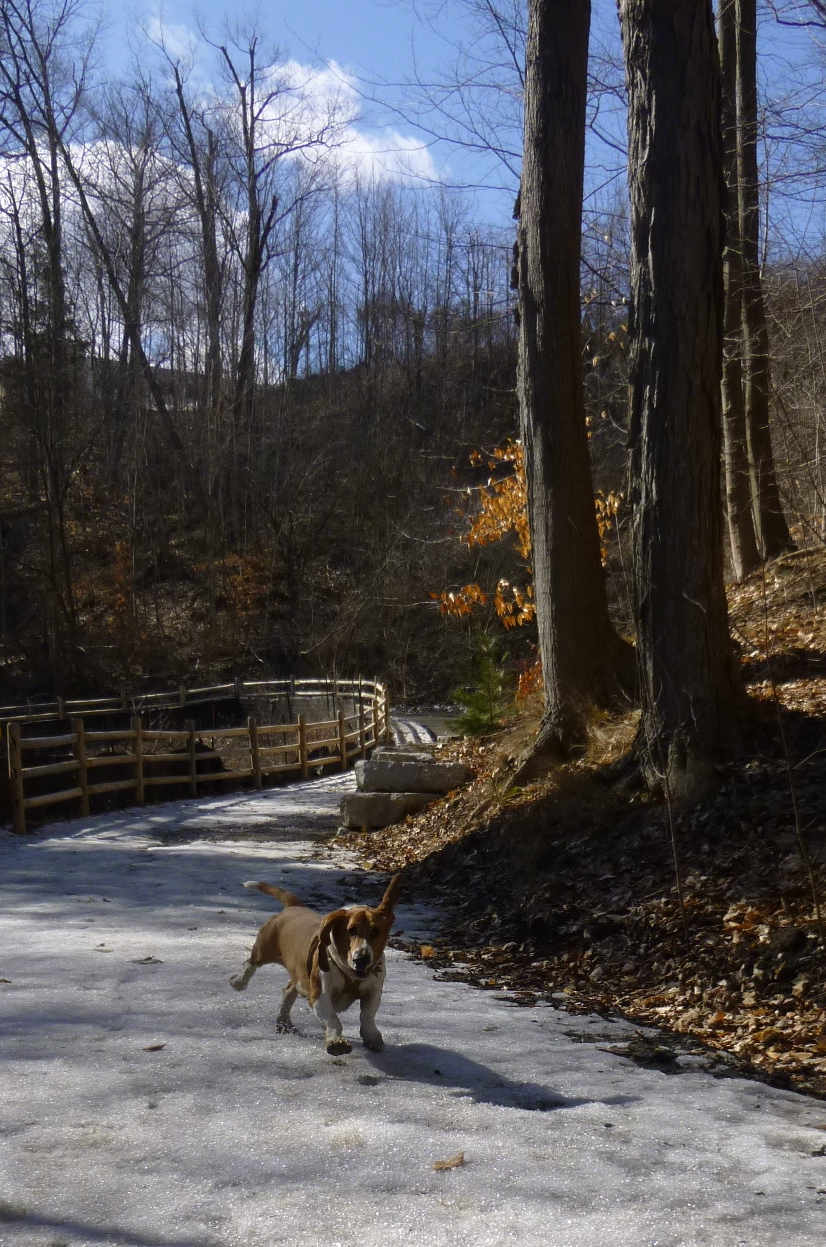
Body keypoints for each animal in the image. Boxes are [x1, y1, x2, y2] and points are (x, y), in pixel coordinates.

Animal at [230, 874, 401, 1055]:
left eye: (375, 932)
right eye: (351, 930)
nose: (361, 959)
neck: (349, 972)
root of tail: (294, 907)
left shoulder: (372, 991)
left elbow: (368, 1015)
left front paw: (372, 1036)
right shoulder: (320, 995)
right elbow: (333, 1020)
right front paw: (337, 1042)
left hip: (299, 975)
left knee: (288, 990)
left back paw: (284, 1023)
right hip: (263, 950)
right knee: (250, 964)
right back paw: (238, 982)